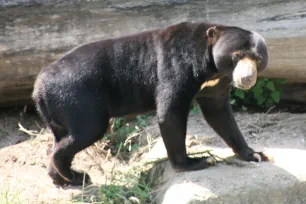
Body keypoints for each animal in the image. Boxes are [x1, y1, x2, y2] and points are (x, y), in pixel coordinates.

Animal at [32, 21, 268, 186]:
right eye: (236, 56)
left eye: (257, 59)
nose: (247, 78)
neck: (211, 69)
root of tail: (38, 86)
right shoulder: (178, 67)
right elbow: (170, 112)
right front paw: (196, 161)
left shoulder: (215, 85)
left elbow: (220, 114)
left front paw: (254, 154)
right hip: (78, 99)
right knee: (86, 132)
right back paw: (70, 173)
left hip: (59, 109)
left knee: (63, 136)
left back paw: (69, 178)